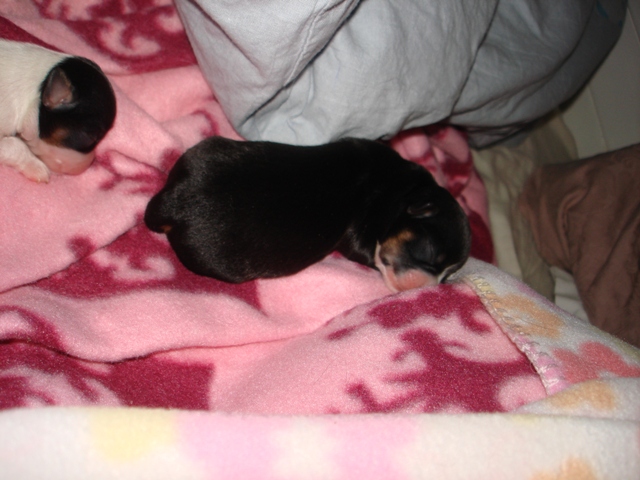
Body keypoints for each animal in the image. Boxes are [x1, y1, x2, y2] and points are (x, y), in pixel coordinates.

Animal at [144, 136, 471, 292]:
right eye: (428, 253)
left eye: (448, 275)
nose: (431, 289)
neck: (402, 187)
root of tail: (172, 203)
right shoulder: (361, 236)